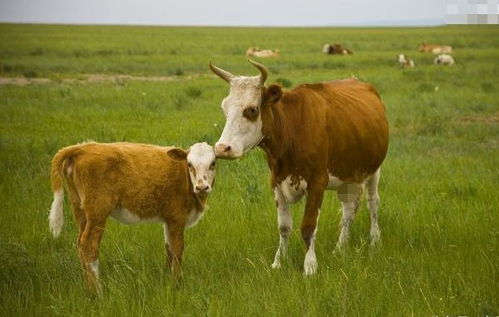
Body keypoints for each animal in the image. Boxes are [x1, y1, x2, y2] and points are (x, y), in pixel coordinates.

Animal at [47, 141, 217, 294]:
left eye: (213, 163)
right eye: (190, 164)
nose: (202, 187)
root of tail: (82, 147)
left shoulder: (168, 219)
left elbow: (168, 248)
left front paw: (167, 278)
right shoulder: (177, 217)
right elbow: (177, 250)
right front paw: (177, 284)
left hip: (80, 209)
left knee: (80, 244)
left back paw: (88, 289)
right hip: (98, 211)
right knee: (89, 245)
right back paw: (97, 292)